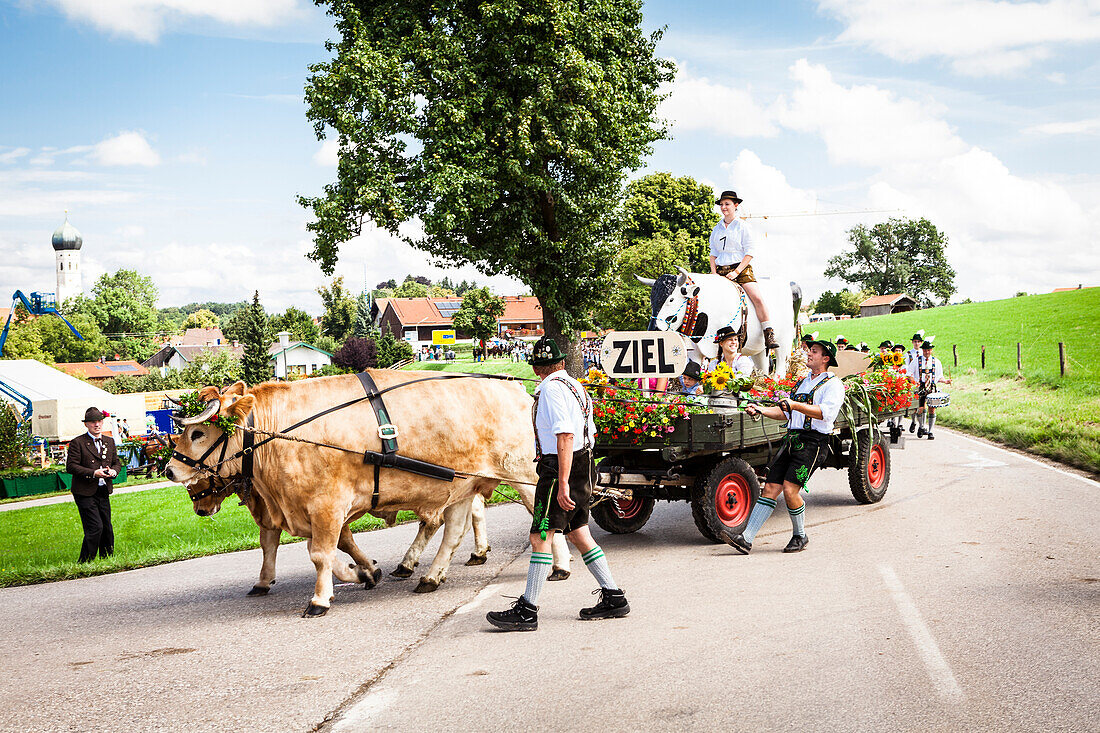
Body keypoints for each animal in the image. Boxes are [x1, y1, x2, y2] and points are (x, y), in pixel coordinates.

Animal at [169, 372, 567, 616]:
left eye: (198, 433)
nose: (170, 470)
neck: (281, 434)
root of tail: (516, 388)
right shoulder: (301, 509)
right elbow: (320, 550)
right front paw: (363, 573)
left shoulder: (327, 504)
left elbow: (320, 554)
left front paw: (321, 599)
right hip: (462, 484)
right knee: (454, 529)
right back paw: (430, 575)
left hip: (522, 473)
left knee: (545, 515)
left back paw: (560, 565)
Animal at [651, 265, 800, 374]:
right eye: (652, 300)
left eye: (671, 299)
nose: (654, 330)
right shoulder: (695, 348)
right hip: (759, 349)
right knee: (763, 370)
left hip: (785, 341)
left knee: (780, 371)